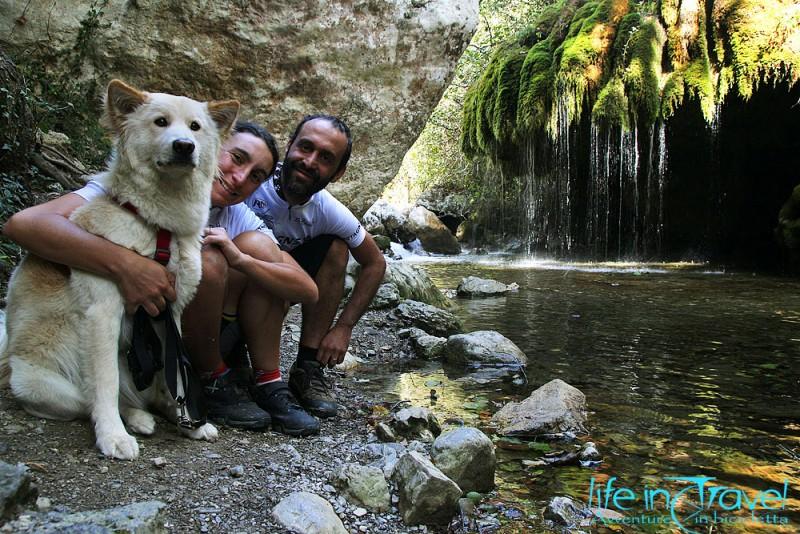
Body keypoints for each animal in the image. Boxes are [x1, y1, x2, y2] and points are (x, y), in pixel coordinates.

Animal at [0, 79, 238, 460]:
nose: (184, 146)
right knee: (91, 398)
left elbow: (178, 371)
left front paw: (189, 420)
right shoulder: (103, 311)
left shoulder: (170, 310)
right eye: (160, 122)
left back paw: (165, 411)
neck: (158, 226)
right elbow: (105, 383)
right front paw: (113, 437)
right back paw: (135, 420)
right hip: (41, 384)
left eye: (195, 127)